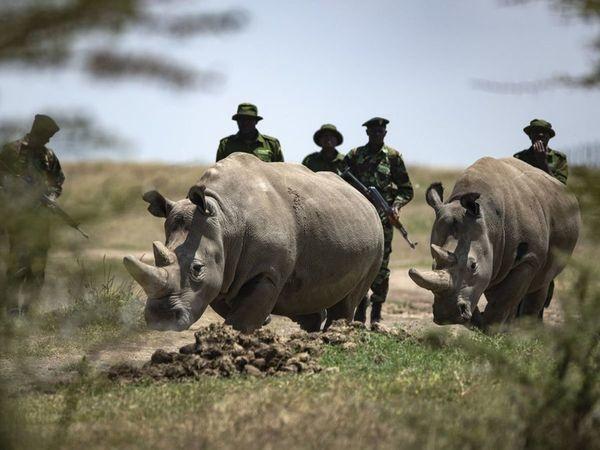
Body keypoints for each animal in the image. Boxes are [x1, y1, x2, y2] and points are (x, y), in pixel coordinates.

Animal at [123, 153, 382, 332]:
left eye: (197, 269)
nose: (161, 320)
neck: (224, 218)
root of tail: (366, 201)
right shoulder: (225, 272)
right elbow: (234, 308)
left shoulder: (267, 272)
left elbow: (241, 318)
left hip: (377, 241)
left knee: (349, 299)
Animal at [410, 156, 580, 328]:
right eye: (433, 264)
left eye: (473, 266)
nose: (447, 316)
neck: (488, 220)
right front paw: (478, 324)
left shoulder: (529, 258)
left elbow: (503, 299)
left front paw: (491, 329)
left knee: (541, 284)